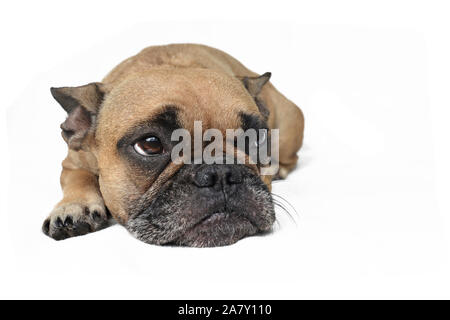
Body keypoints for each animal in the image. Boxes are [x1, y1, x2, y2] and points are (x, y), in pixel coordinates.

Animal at [42, 43, 304, 248]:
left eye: (256, 138)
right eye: (150, 145)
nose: (222, 172)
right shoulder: (73, 161)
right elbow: (77, 178)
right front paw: (74, 207)